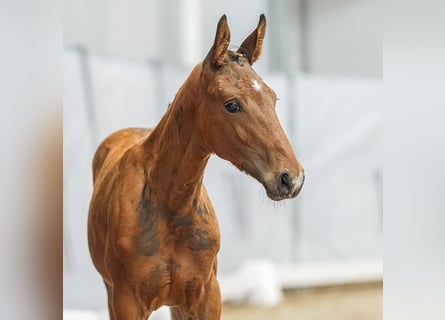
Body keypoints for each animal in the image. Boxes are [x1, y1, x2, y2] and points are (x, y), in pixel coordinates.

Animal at [88, 15, 304, 320]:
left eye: (273, 98)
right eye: (232, 104)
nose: (291, 178)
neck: (170, 207)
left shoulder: (206, 296)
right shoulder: (126, 302)